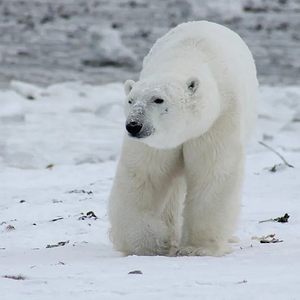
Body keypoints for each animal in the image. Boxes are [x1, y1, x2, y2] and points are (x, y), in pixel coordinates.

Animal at [108, 21, 258, 256]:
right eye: (131, 100)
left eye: (158, 99)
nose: (133, 125)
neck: (187, 55)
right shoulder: (156, 143)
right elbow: (143, 175)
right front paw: (154, 242)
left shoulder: (218, 121)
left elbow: (213, 173)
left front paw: (197, 248)